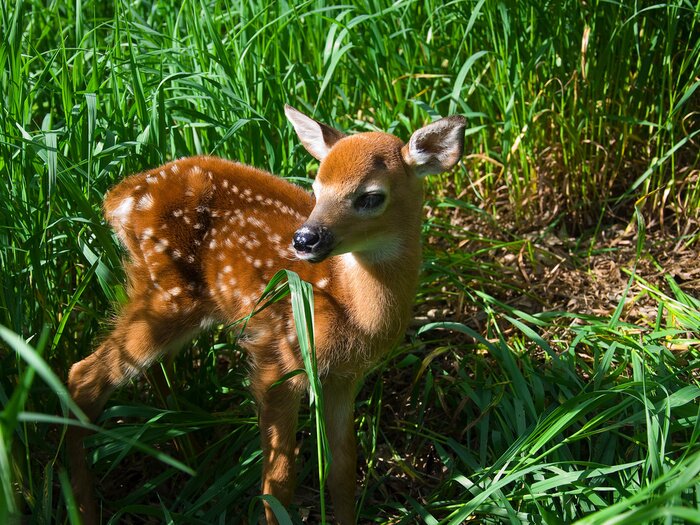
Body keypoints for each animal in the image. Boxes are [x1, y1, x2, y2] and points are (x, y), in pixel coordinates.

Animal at [66, 105, 466, 524]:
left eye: (371, 197)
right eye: (317, 188)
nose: (304, 239)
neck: (350, 306)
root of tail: (120, 197)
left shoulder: (344, 377)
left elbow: (342, 470)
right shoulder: (278, 361)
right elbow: (279, 483)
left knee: (152, 370)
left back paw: (188, 454)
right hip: (167, 293)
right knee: (85, 376)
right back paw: (84, 507)